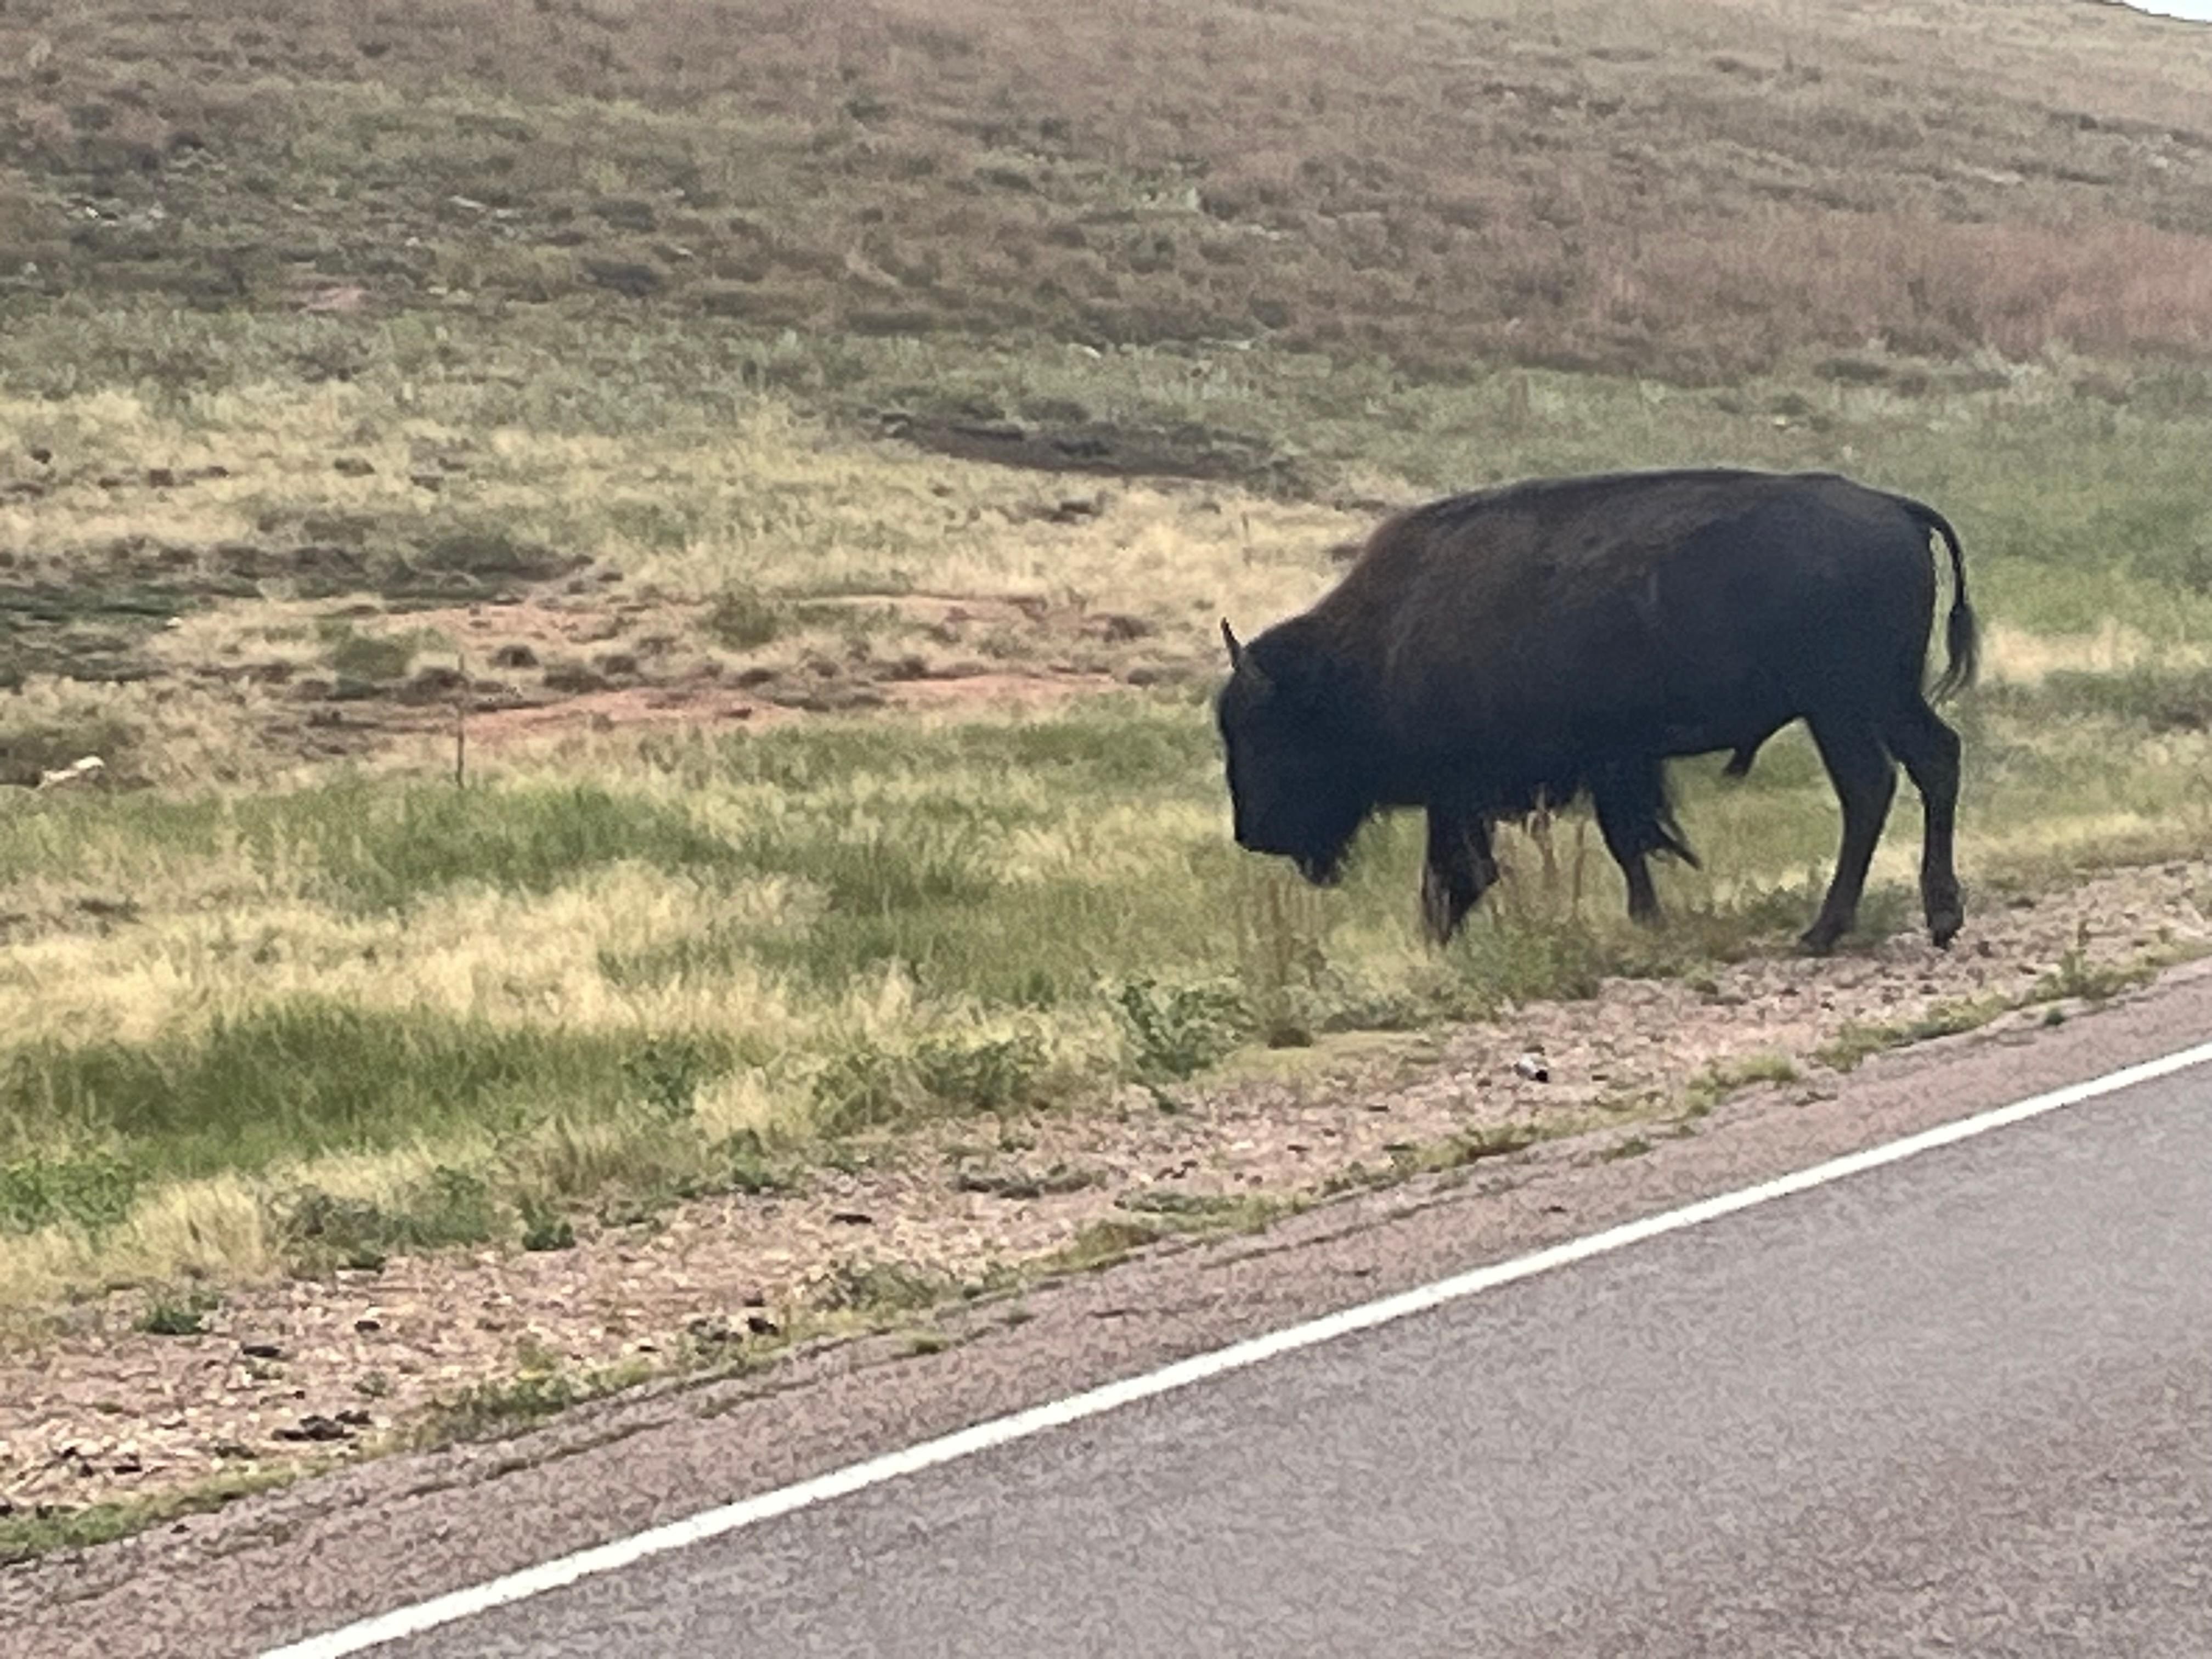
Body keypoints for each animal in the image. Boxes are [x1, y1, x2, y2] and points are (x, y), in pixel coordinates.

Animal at [1215, 468, 1976, 954]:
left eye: (1268, 733)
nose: (1252, 834)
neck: (1378, 643)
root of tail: (1896, 508)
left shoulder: (1470, 789)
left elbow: (1466, 871)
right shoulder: (1600, 766)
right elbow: (1626, 844)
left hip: (1842, 704)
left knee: (1869, 788)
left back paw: (1823, 932)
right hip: (1882, 698)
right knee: (1934, 760)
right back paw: (1940, 917)